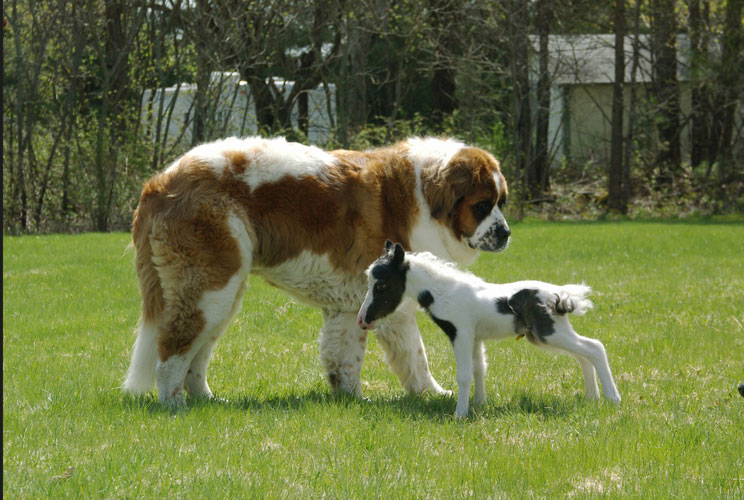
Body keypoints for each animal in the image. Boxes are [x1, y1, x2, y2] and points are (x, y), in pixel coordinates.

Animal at [123, 134, 512, 406]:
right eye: (482, 205)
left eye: (501, 202)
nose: (506, 233)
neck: (422, 197)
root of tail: (160, 181)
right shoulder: (392, 301)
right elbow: (416, 355)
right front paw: (432, 394)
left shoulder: (352, 304)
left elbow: (347, 357)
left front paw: (351, 399)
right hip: (210, 288)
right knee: (173, 349)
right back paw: (174, 405)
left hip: (224, 295)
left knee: (197, 353)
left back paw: (207, 401)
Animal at [358, 242, 620, 418]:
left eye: (381, 285)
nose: (363, 320)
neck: (444, 292)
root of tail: (560, 295)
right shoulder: (475, 337)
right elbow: (479, 368)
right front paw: (479, 404)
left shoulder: (461, 333)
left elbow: (464, 374)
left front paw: (460, 414)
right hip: (545, 336)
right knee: (583, 355)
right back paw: (591, 397)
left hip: (550, 333)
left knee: (595, 347)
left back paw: (613, 399)